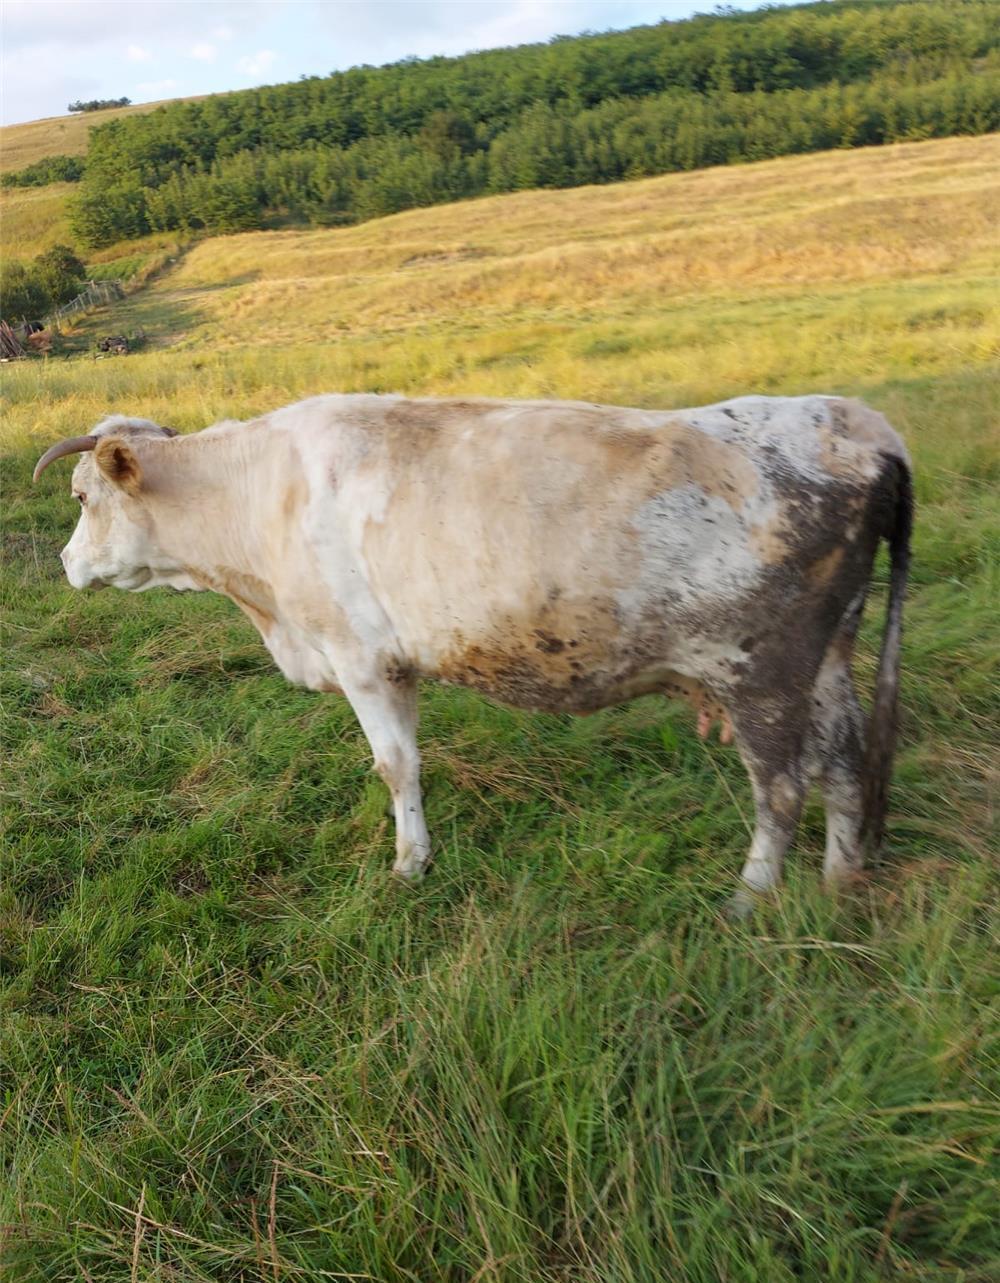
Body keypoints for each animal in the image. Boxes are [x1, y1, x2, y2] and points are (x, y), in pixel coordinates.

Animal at [33, 393, 912, 906]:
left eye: (81, 496)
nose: (66, 562)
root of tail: (861, 425)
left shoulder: (360, 657)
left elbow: (395, 766)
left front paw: (409, 864)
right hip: (831, 655)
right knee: (844, 760)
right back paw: (839, 878)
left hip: (763, 672)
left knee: (782, 788)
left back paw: (750, 895)